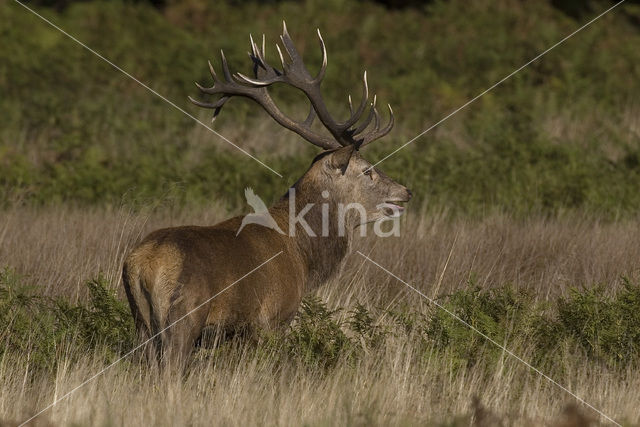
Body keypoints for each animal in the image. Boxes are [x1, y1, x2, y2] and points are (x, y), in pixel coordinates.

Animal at [122, 21, 412, 366]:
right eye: (367, 170)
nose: (406, 191)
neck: (303, 256)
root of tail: (142, 264)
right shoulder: (273, 319)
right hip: (184, 318)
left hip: (141, 323)